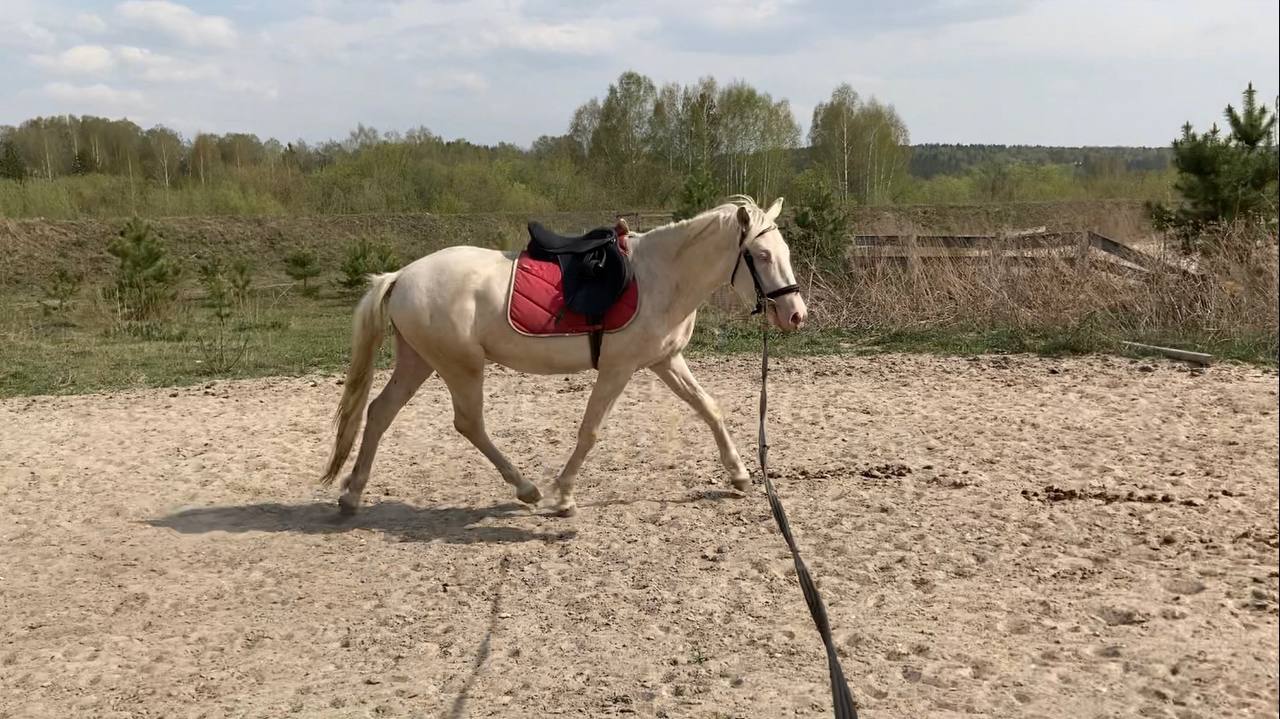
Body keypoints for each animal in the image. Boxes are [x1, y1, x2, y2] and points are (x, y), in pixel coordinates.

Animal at [320, 194, 803, 514]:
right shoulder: (618, 369)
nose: (795, 314)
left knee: (380, 412)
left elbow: (709, 409)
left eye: (785, 252)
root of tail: (401, 275)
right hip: (460, 366)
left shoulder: (665, 361)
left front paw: (739, 475)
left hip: (418, 361)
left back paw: (352, 494)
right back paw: (527, 489)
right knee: (468, 423)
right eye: (762, 255)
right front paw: (563, 494)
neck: (660, 276)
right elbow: (590, 430)